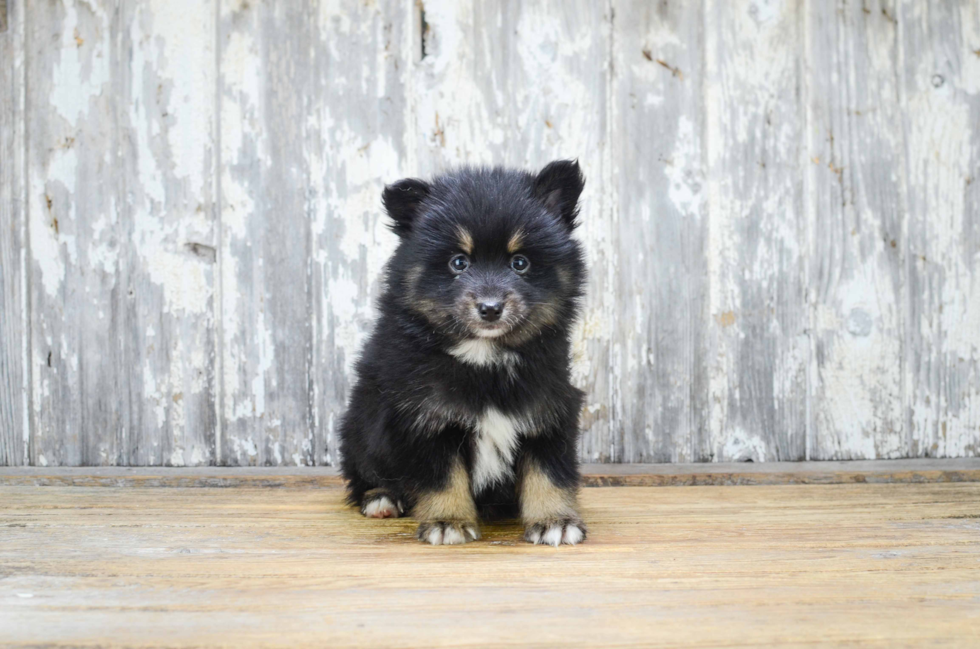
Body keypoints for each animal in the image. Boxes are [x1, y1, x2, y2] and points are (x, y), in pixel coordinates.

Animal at [342, 159, 588, 544]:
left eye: (520, 263)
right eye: (459, 263)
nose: (490, 308)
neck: (484, 358)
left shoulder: (549, 407)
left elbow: (548, 470)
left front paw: (554, 521)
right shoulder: (422, 416)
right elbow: (442, 475)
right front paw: (448, 521)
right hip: (361, 424)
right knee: (363, 471)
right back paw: (381, 497)